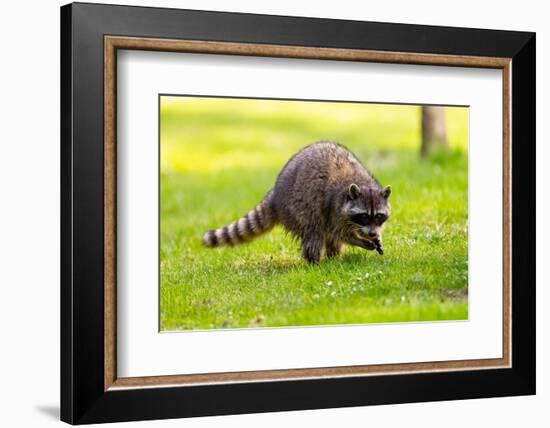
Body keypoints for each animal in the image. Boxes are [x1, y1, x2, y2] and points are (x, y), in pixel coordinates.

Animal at [203, 142, 392, 262]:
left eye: (379, 216)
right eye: (364, 216)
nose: (372, 234)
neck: (363, 183)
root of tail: (276, 195)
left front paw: (376, 237)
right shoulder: (334, 208)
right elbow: (340, 233)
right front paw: (359, 241)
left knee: (327, 238)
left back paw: (333, 257)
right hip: (298, 207)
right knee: (314, 231)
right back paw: (315, 262)